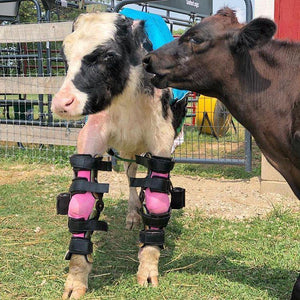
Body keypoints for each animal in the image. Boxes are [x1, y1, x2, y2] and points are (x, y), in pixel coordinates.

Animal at [52, 12, 186, 300]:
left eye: (109, 55)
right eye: (65, 55)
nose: (61, 104)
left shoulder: (162, 140)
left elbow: (157, 194)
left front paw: (148, 270)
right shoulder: (92, 134)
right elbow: (82, 198)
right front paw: (75, 281)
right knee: (131, 175)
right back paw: (133, 215)